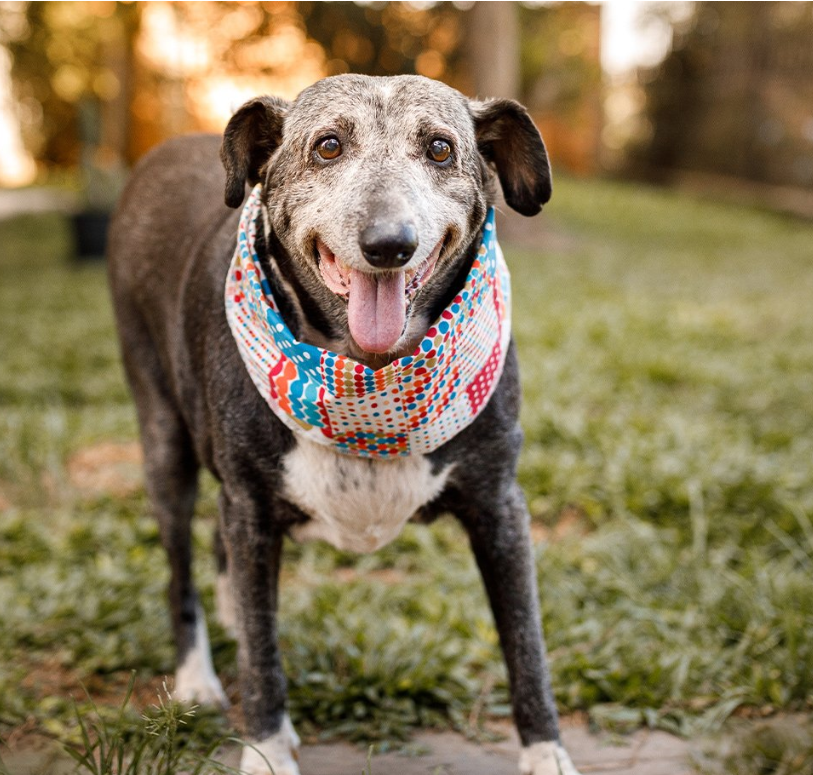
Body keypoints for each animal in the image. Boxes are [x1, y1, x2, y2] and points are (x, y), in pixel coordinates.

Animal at [108, 74, 580, 775]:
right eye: (328, 145)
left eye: (440, 148)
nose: (388, 244)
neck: (370, 380)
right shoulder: (250, 506)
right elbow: (263, 660)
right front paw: (266, 748)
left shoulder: (500, 507)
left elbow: (527, 646)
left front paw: (546, 752)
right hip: (163, 439)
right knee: (180, 570)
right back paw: (197, 676)